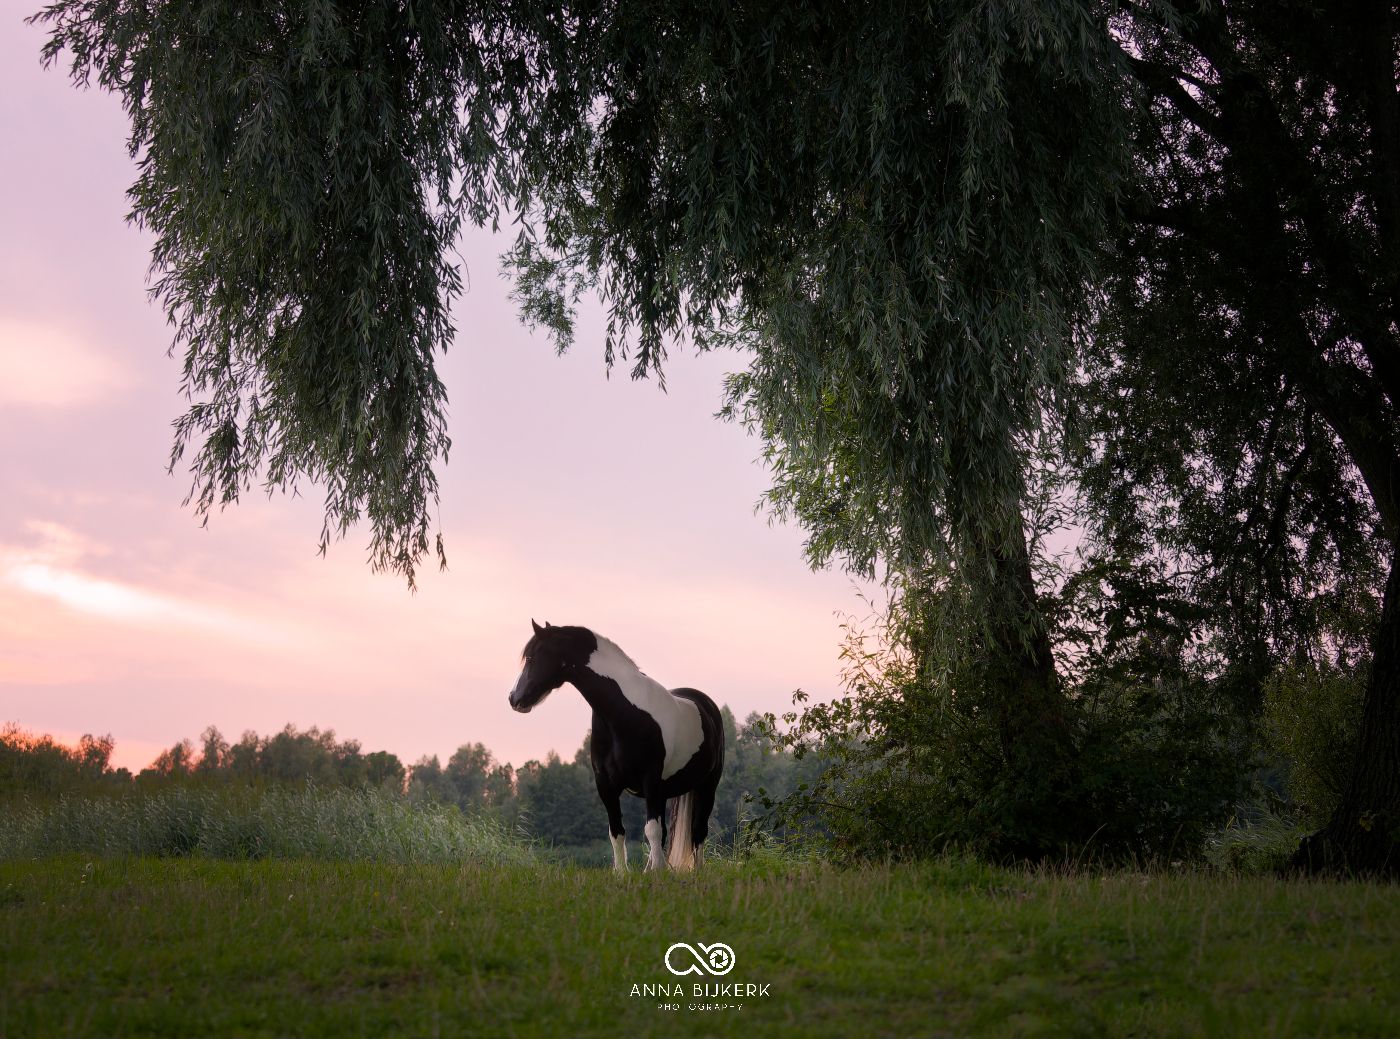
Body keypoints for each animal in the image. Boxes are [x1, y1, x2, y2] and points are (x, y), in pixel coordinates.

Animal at [507, 621, 725, 872]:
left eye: (531, 657)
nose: (514, 698)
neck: (624, 713)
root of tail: (706, 704)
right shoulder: (606, 785)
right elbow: (618, 832)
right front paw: (623, 873)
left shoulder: (650, 780)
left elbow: (651, 830)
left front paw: (658, 873)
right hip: (664, 793)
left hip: (706, 786)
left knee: (697, 831)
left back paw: (695, 870)